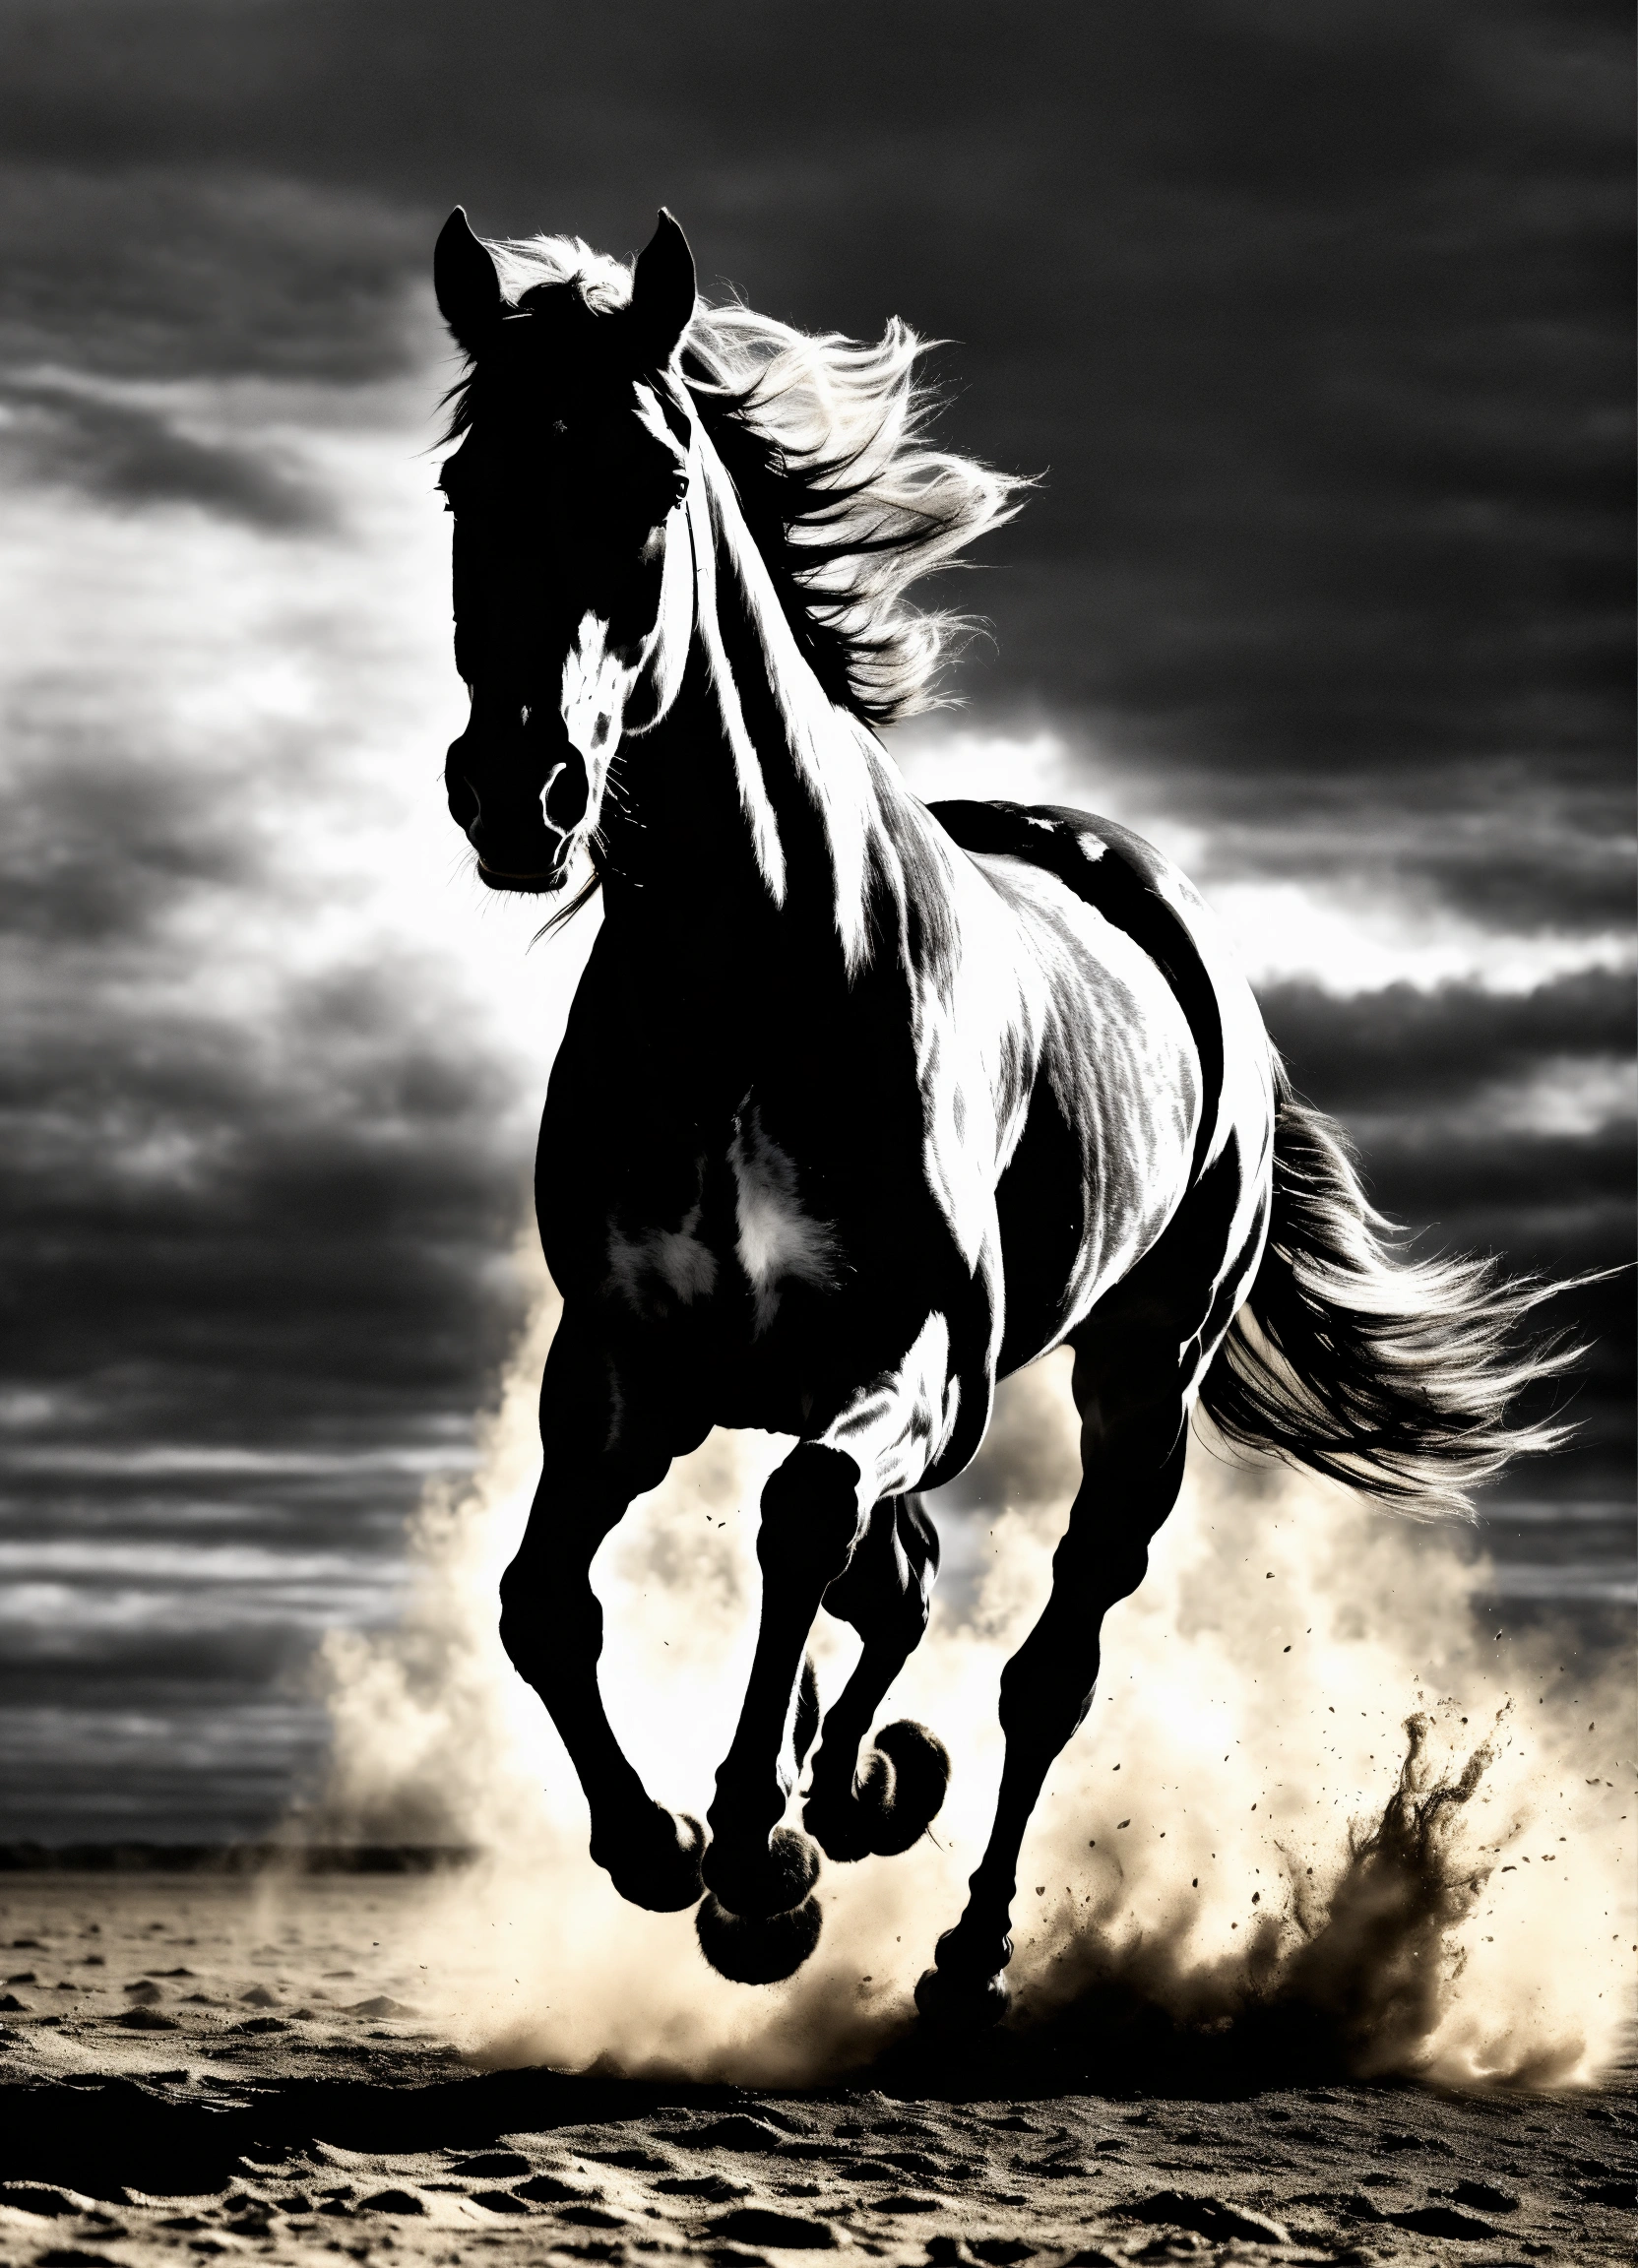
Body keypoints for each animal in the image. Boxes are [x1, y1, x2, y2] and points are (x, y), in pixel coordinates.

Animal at [428, 205, 1569, 2020]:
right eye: (468, 481)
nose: (518, 796)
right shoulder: (623, 1366)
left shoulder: (911, 1359)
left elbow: (802, 1524)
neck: (747, 980)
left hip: (1138, 1387)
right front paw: (677, 1840)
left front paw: (756, 1860)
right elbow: (547, 1597)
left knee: (1045, 1660)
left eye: (650, 480)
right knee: (891, 1588)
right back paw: (858, 1790)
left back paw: (957, 1944)